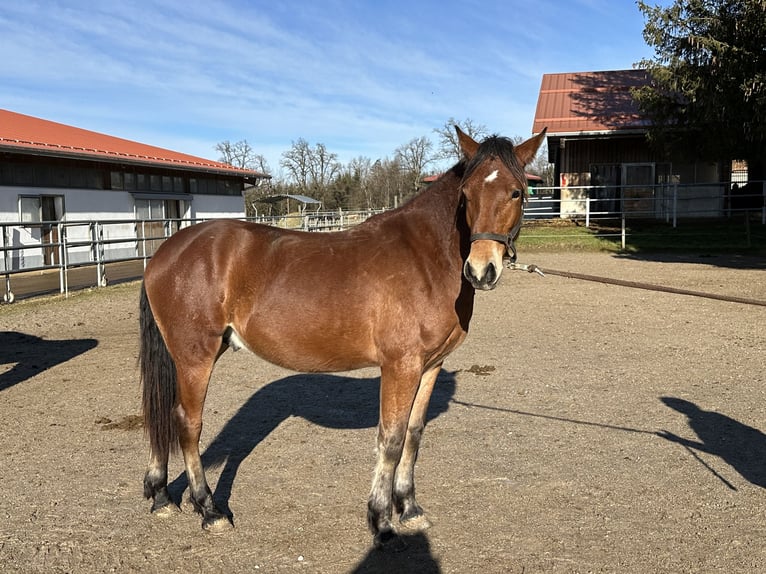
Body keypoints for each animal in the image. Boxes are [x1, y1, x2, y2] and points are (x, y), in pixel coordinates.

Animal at [138, 126, 544, 548]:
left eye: (516, 192)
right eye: (466, 194)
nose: (481, 270)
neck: (425, 257)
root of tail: (166, 252)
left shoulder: (431, 366)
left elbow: (413, 435)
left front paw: (409, 508)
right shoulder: (400, 366)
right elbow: (391, 439)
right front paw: (381, 521)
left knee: (162, 415)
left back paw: (162, 496)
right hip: (195, 357)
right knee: (187, 423)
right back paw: (209, 509)